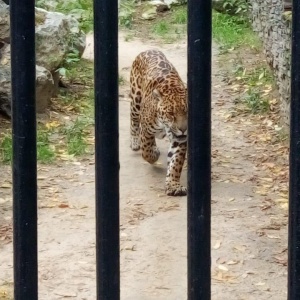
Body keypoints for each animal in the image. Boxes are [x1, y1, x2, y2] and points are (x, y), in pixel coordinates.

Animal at [129, 49, 188, 197]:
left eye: (187, 111)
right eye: (171, 114)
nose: (184, 129)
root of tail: (149, 50)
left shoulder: (180, 139)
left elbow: (176, 162)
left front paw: (173, 185)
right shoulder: (146, 130)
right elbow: (147, 150)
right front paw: (153, 155)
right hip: (136, 100)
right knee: (133, 120)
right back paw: (135, 142)